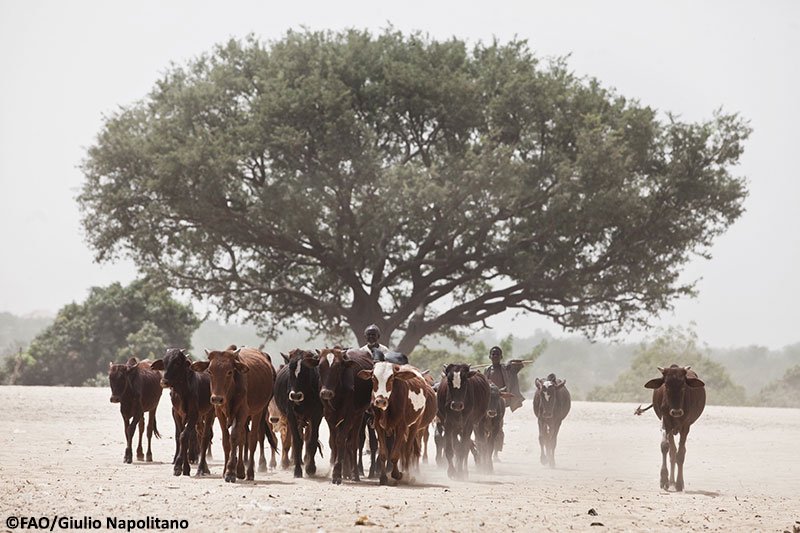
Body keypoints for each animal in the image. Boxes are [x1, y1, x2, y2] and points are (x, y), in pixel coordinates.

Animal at [191, 344, 276, 482]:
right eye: (209, 371)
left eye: (229, 372)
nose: (216, 398)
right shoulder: (219, 412)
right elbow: (227, 440)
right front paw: (226, 470)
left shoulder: (242, 411)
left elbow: (235, 437)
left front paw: (231, 472)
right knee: (243, 437)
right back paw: (240, 471)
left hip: (260, 411)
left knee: (253, 439)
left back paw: (249, 473)